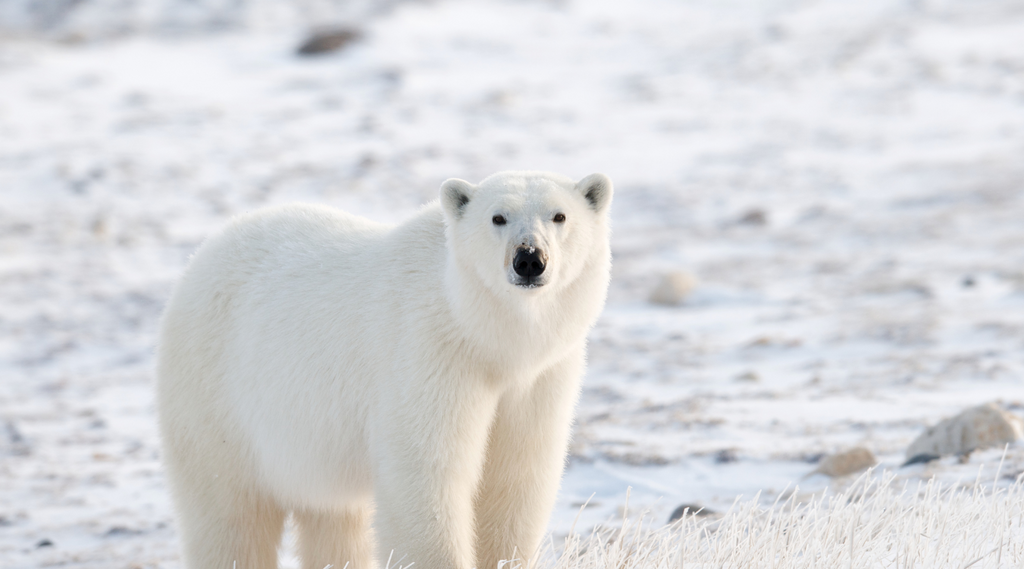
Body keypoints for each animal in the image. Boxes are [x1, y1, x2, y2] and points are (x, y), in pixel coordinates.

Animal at [155, 169, 610, 569]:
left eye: (559, 216)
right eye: (498, 217)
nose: (529, 259)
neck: (486, 338)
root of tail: (202, 255)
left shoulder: (539, 379)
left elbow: (514, 481)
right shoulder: (428, 355)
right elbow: (426, 476)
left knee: (334, 519)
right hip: (217, 402)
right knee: (230, 516)